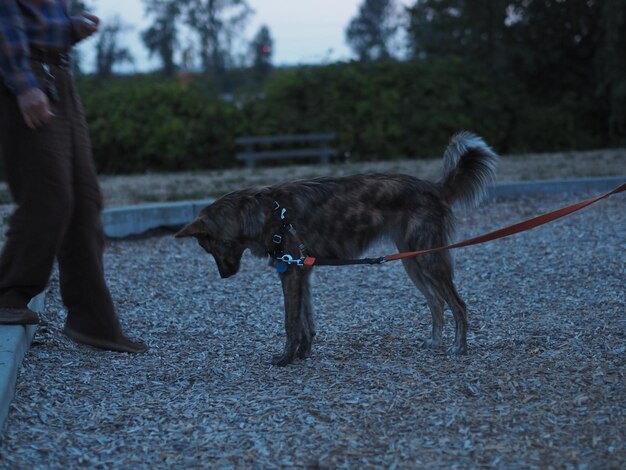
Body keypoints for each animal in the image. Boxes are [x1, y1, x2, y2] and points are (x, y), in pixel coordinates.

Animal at [177, 132, 498, 368]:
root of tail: (433, 186)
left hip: (429, 260)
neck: (259, 212)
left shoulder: (290, 273)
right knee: (436, 302)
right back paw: (435, 342)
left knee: (458, 304)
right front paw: (303, 353)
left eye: (206, 247)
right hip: (413, 262)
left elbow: (291, 322)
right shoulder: (302, 272)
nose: (224, 276)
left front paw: (286, 358)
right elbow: (306, 320)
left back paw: (459, 347)